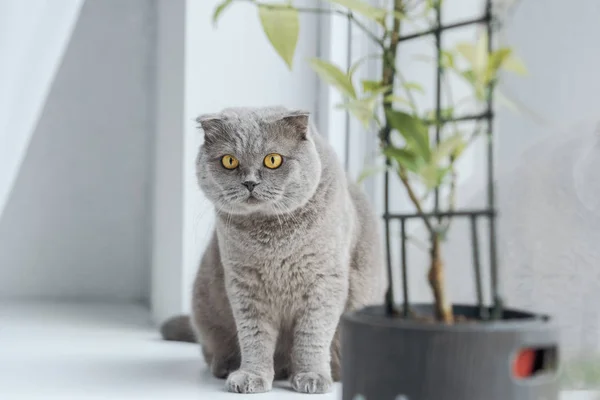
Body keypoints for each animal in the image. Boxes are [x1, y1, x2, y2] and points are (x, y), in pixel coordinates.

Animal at [161, 105, 384, 394]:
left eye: (273, 160)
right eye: (229, 161)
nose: (250, 183)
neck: (273, 239)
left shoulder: (324, 282)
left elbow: (313, 334)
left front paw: (312, 377)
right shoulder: (245, 285)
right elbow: (254, 337)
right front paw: (251, 377)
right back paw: (228, 366)